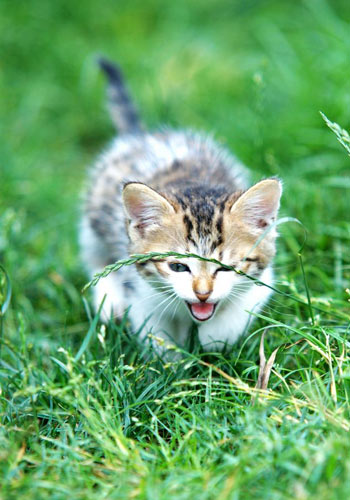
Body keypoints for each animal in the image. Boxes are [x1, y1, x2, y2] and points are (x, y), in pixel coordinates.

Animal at [80, 59, 284, 352]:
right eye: (178, 267)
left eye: (226, 267)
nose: (203, 294)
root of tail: (142, 136)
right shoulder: (141, 288)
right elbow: (155, 331)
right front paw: (170, 357)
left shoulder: (261, 283)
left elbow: (235, 315)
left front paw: (213, 340)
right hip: (94, 217)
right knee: (96, 258)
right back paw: (109, 302)